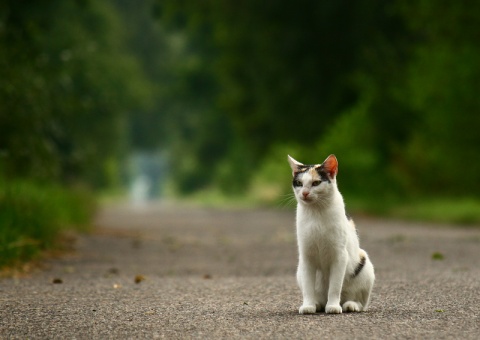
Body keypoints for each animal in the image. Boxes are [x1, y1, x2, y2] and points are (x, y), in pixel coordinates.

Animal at [284, 154, 376, 314]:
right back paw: (317, 304)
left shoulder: (340, 256)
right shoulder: (306, 256)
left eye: (316, 183)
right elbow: (308, 287)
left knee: (361, 303)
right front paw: (308, 305)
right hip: (299, 271)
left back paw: (349, 305)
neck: (316, 213)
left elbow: (334, 286)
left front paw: (333, 306)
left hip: (366, 267)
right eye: (299, 183)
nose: (304, 193)